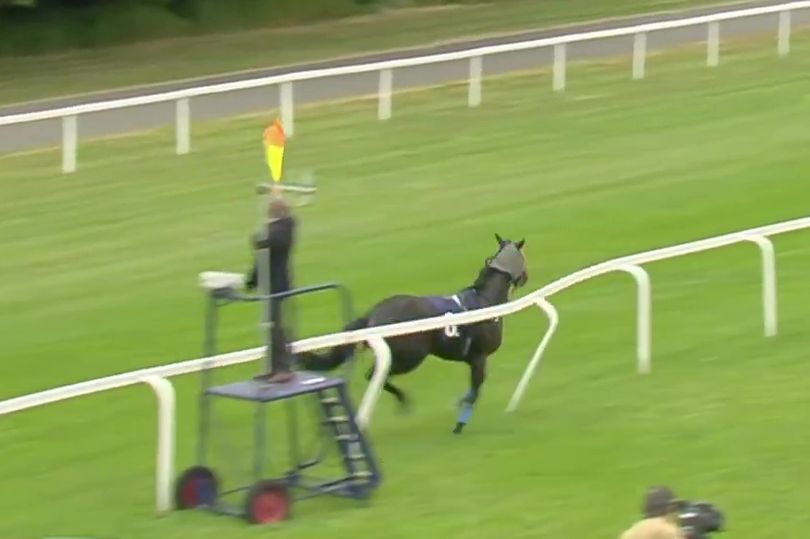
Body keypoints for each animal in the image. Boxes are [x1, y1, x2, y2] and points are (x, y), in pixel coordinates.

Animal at [297, 234, 529, 434]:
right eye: (525, 258)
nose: (526, 276)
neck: (486, 300)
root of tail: (373, 315)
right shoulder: (479, 357)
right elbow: (475, 389)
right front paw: (460, 420)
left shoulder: (473, 359)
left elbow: (474, 388)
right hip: (410, 356)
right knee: (374, 374)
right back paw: (402, 399)